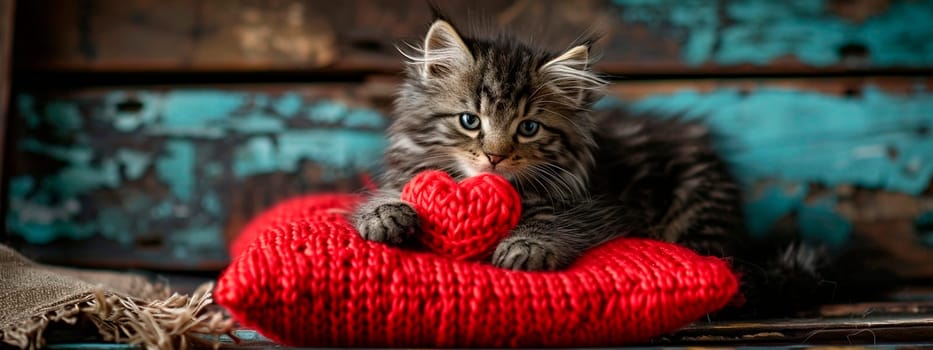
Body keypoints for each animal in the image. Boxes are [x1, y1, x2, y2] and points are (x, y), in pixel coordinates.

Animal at [352, 18, 748, 270]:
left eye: (528, 128)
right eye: (470, 121)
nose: (494, 157)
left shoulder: (595, 206)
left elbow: (555, 222)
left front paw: (526, 246)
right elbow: (391, 194)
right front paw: (384, 215)